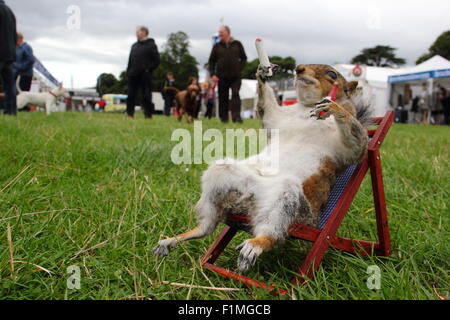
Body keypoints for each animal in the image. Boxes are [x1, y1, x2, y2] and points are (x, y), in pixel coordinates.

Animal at [153, 59, 370, 270]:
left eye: (332, 74)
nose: (298, 69)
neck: (306, 107)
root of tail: (248, 200)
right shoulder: (278, 119)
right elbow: (268, 109)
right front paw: (263, 72)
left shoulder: (343, 152)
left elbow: (358, 146)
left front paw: (334, 108)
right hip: (224, 177)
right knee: (208, 225)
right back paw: (176, 239)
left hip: (290, 202)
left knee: (272, 230)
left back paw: (256, 244)